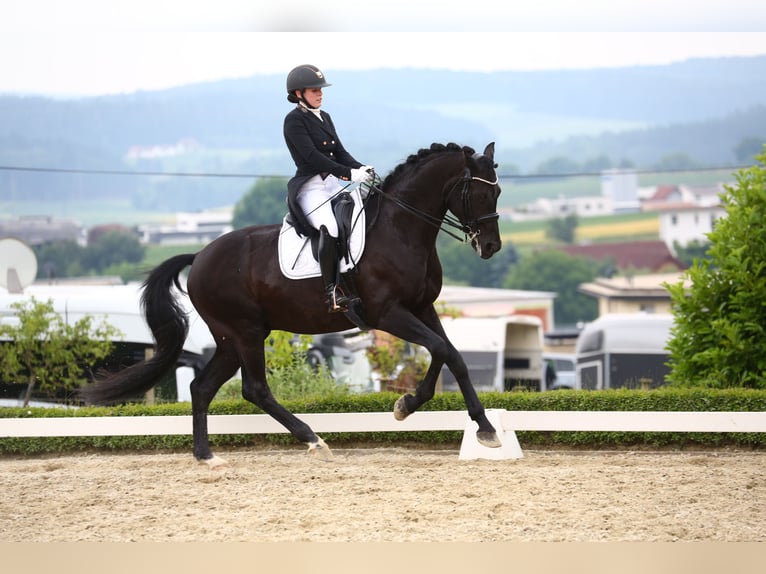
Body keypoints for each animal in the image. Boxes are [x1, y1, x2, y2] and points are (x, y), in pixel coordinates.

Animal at [81, 143, 508, 468]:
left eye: (499, 193)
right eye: (480, 194)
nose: (491, 247)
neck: (401, 230)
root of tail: (199, 255)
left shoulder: (422, 309)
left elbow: (450, 354)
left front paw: (463, 421)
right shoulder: (389, 314)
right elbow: (441, 350)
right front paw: (455, 419)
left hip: (231, 339)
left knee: (201, 388)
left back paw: (206, 456)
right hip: (245, 332)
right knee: (255, 389)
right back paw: (312, 439)